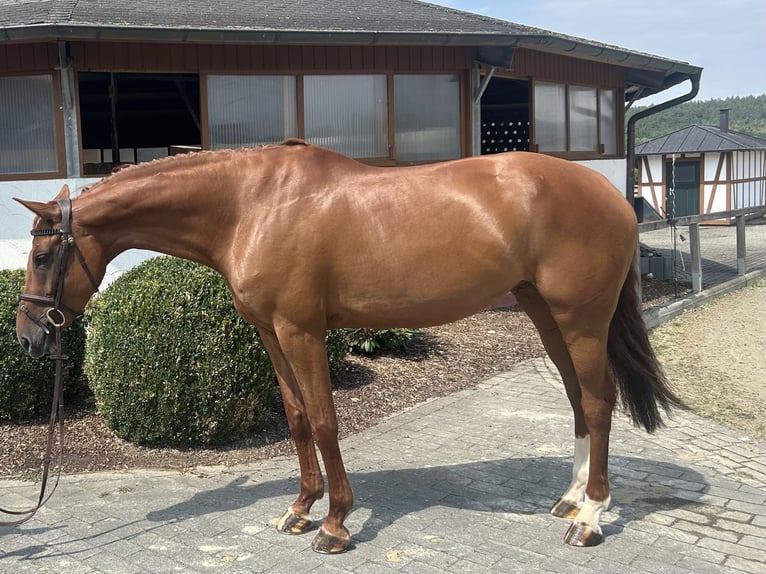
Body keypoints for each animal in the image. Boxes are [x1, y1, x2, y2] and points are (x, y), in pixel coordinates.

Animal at [15, 139, 682, 553]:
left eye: (43, 256)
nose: (27, 335)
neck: (250, 206)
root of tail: (609, 194)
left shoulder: (301, 330)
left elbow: (325, 421)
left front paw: (335, 523)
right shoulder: (271, 332)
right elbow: (296, 418)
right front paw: (300, 508)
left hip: (581, 318)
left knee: (597, 402)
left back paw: (592, 518)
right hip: (545, 313)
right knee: (575, 398)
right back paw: (570, 500)